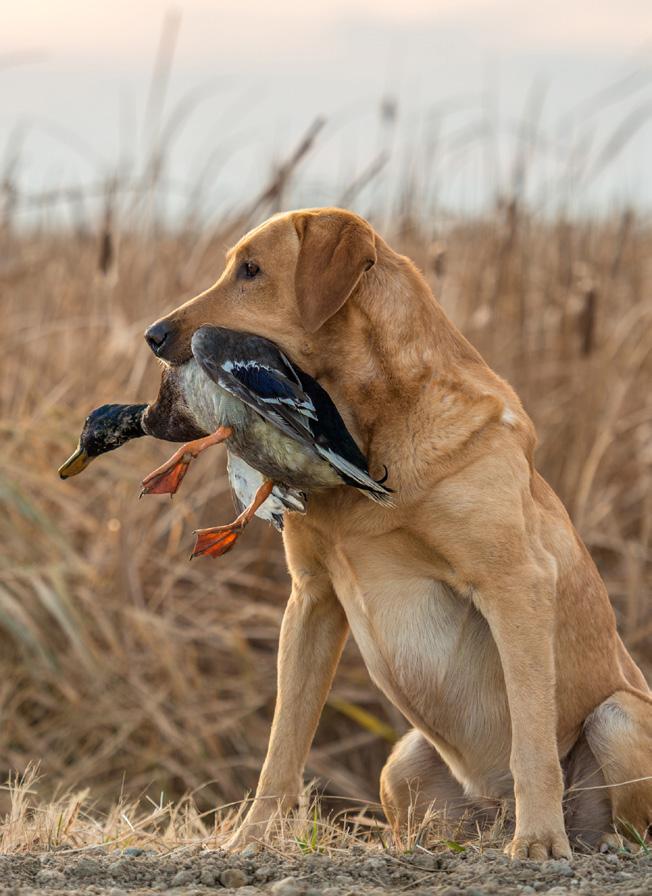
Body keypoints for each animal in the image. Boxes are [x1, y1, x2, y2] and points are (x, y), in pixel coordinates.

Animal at [144, 207, 651, 859]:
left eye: (252, 270)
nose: (153, 335)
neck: (370, 424)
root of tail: (492, 806)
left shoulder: (517, 583)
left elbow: (533, 740)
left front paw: (538, 841)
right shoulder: (311, 599)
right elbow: (282, 750)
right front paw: (249, 842)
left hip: (616, 717)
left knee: (619, 816)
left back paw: (583, 839)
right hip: (400, 766)